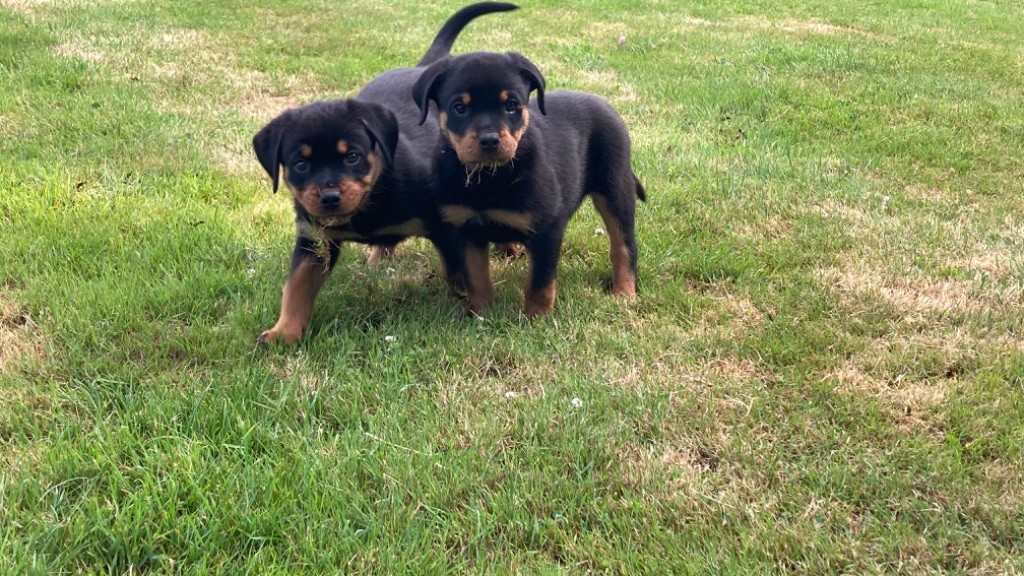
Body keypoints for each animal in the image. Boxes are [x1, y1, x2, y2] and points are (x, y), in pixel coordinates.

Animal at [251, 2, 516, 342]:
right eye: (300, 164)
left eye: (352, 156)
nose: (329, 197)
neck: (374, 195)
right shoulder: (313, 240)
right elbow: (297, 287)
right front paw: (283, 332)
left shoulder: (445, 226)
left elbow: (459, 270)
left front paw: (470, 307)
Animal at [409, 51, 643, 315]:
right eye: (459, 108)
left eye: (511, 105)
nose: (489, 140)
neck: (488, 179)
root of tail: (603, 103)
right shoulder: (465, 229)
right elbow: (476, 279)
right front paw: (481, 314)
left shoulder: (547, 228)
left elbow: (540, 282)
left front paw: (536, 318)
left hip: (616, 189)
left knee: (624, 246)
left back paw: (623, 294)